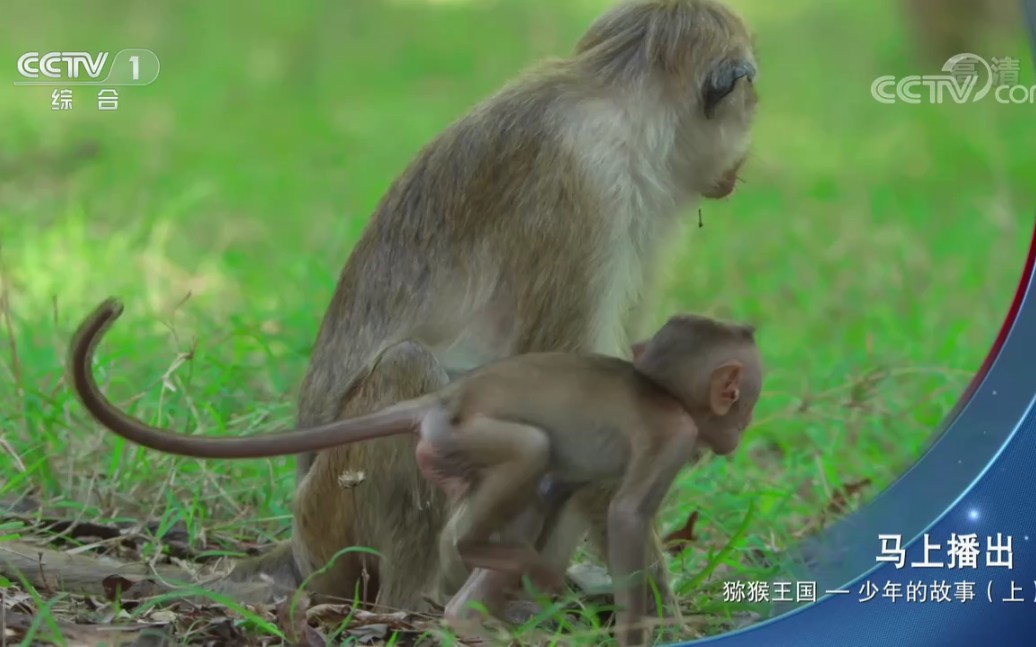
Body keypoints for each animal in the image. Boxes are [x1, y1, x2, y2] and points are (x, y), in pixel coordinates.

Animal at [52, 0, 758, 608]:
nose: (740, 163)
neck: (617, 101)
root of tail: (300, 550)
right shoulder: (584, 182)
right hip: (334, 521)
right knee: (409, 371)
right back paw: (414, 603)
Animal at [70, 302, 762, 645]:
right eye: (746, 395)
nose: (737, 432)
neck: (662, 392)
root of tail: (439, 401)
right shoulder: (670, 437)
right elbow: (623, 514)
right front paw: (649, 627)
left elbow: (573, 496)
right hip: (464, 439)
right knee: (528, 457)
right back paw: (470, 562)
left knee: (538, 496)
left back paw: (473, 611)